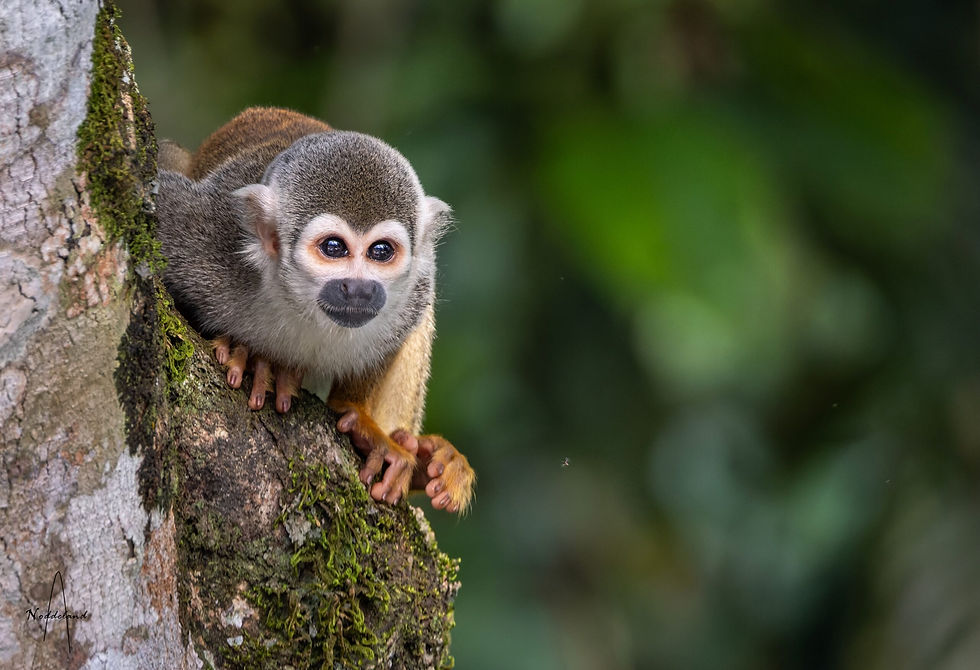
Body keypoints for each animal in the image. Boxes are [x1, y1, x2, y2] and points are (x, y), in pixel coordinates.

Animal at [154, 107, 474, 514]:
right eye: (333, 248)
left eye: (381, 251)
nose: (360, 289)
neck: (299, 303)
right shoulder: (204, 237)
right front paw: (254, 358)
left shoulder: (416, 282)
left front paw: (358, 417)